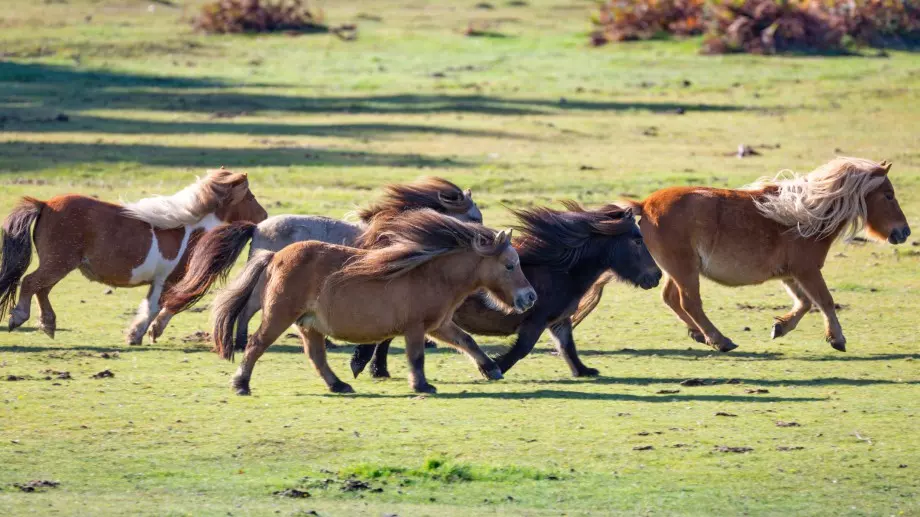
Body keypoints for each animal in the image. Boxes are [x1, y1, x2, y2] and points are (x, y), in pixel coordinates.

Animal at [0, 169, 266, 344]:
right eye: (250, 197)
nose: (264, 216)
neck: (191, 231)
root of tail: (44, 203)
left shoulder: (160, 281)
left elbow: (152, 305)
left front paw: (138, 334)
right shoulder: (169, 280)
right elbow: (162, 305)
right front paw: (143, 334)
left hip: (60, 264)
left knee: (42, 289)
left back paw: (48, 324)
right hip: (58, 262)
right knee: (31, 283)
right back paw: (19, 318)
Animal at [198, 208, 536, 394]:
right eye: (510, 265)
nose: (530, 297)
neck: (431, 272)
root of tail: (275, 256)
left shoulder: (439, 326)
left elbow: (467, 341)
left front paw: (491, 369)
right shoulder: (416, 328)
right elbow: (416, 358)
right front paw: (422, 385)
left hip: (308, 325)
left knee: (316, 356)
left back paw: (338, 385)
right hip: (279, 316)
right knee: (256, 344)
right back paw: (241, 384)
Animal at [572, 157, 908, 350]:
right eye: (889, 195)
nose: (904, 232)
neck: (805, 214)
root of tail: (645, 204)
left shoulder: (791, 274)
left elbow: (803, 303)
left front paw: (780, 327)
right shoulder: (807, 270)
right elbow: (823, 301)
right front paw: (837, 339)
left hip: (677, 270)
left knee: (672, 299)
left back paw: (701, 335)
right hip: (685, 269)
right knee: (689, 302)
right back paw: (720, 340)